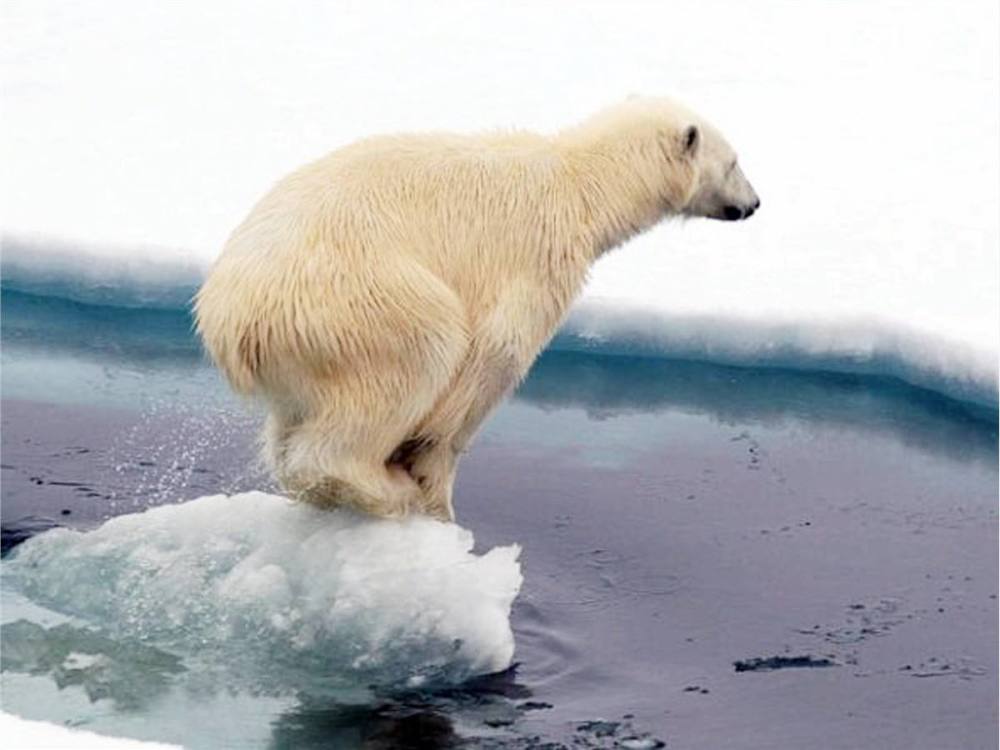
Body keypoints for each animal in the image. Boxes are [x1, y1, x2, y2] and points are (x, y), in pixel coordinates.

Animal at [195, 97, 756, 524]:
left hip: (296, 355)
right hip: (359, 303)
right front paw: (434, 489)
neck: (581, 186)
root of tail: (230, 320)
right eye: (733, 163)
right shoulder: (535, 260)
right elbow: (493, 357)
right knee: (417, 355)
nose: (754, 204)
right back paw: (383, 488)